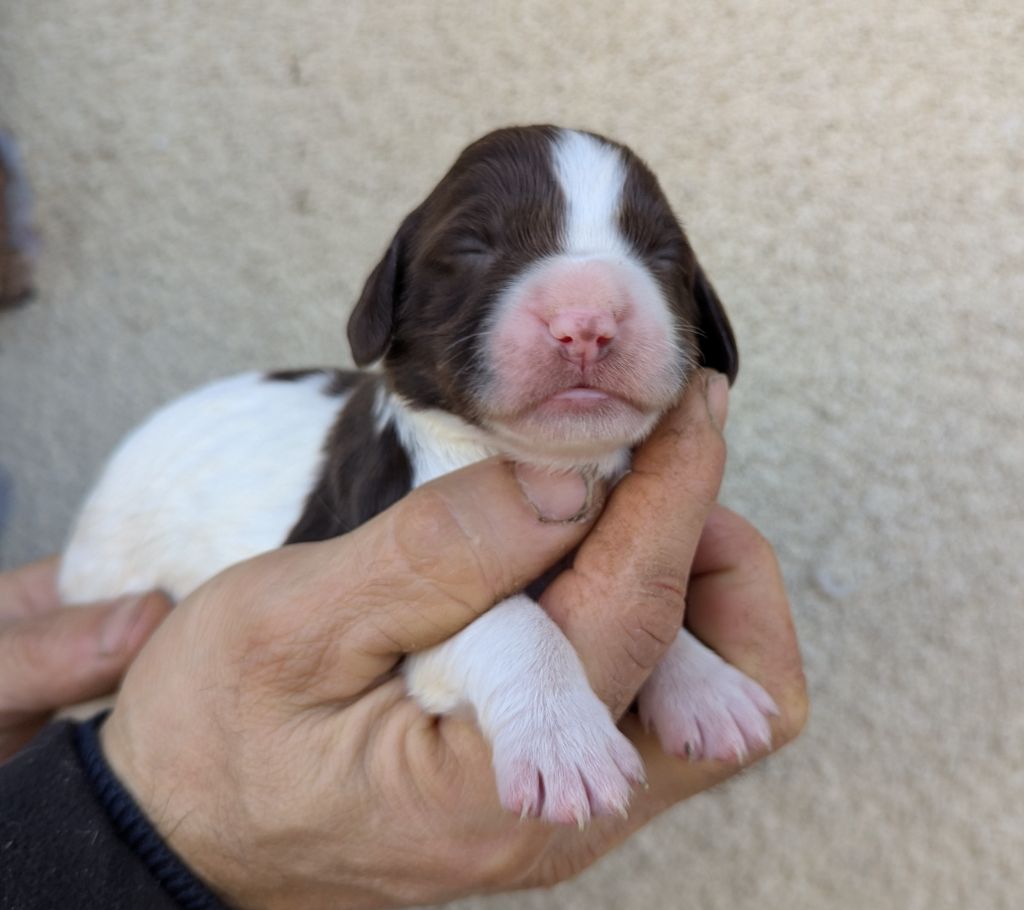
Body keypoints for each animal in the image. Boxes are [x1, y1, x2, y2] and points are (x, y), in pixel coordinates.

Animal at [58, 124, 774, 827]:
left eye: (663, 254)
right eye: (472, 245)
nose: (586, 324)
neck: (550, 459)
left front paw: (708, 687)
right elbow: (507, 623)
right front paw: (564, 740)